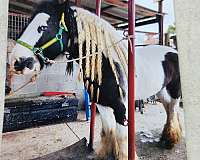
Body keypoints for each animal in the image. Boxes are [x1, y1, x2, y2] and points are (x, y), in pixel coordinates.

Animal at [9, 0, 181, 159]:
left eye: (42, 27)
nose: (16, 61)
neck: (108, 66)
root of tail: (173, 51)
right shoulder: (102, 105)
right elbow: (108, 132)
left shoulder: (122, 109)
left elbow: (121, 137)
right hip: (161, 91)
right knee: (168, 110)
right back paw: (165, 137)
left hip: (175, 91)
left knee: (173, 110)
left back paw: (170, 140)